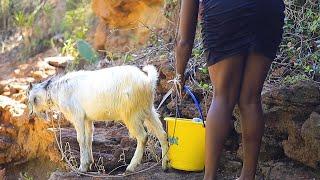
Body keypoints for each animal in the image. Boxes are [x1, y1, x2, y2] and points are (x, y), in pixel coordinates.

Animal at [27, 65, 170, 172]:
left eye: (33, 99)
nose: (31, 114)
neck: (58, 91)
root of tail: (148, 81)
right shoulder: (87, 119)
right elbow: (89, 138)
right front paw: (90, 163)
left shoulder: (77, 116)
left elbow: (81, 139)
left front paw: (82, 167)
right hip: (148, 110)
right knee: (162, 133)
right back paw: (165, 165)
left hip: (131, 114)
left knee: (143, 137)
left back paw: (131, 167)